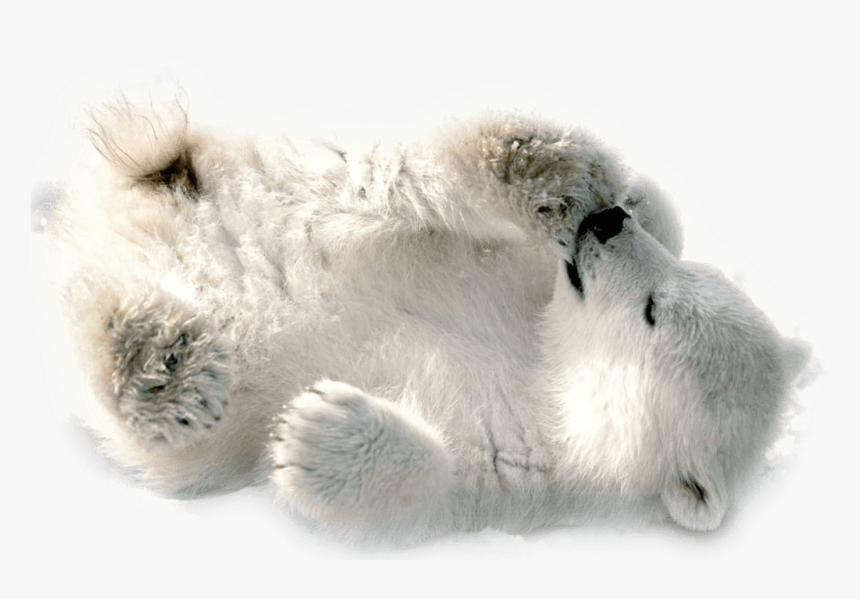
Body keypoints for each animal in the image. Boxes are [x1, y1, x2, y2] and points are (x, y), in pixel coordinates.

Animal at [44, 84, 810, 545]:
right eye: (688, 277)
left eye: (654, 311)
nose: (606, 224)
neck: (544, 366)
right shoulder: (520, 279)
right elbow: (638, 216)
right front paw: (621, 194)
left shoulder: (523, 477)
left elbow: (419, 496)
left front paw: (316, 433)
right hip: (298, 180)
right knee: (388, 177)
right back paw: (535, 161)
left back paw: (160, 365)